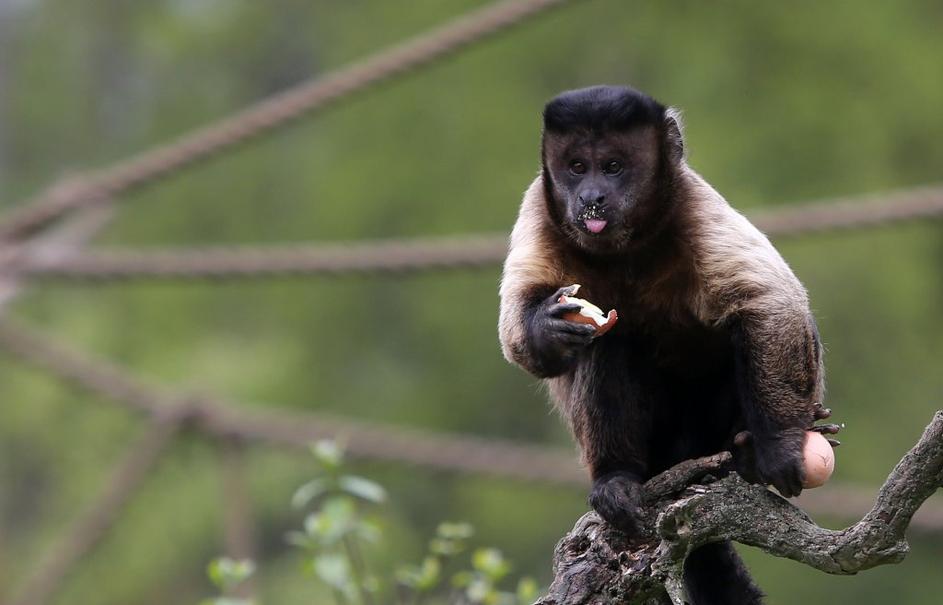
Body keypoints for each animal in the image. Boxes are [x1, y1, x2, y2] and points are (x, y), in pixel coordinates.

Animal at [498, 86, 828, 604]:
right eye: (576, 168)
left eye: (613, 166)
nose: (591, 197)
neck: (627, 248)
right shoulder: (539, 208)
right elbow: (517, 339)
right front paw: (546, 329)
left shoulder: (695, 205)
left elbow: (772, 303)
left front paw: (778, 446)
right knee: (612, 342)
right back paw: (616, 476)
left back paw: (743, 453)